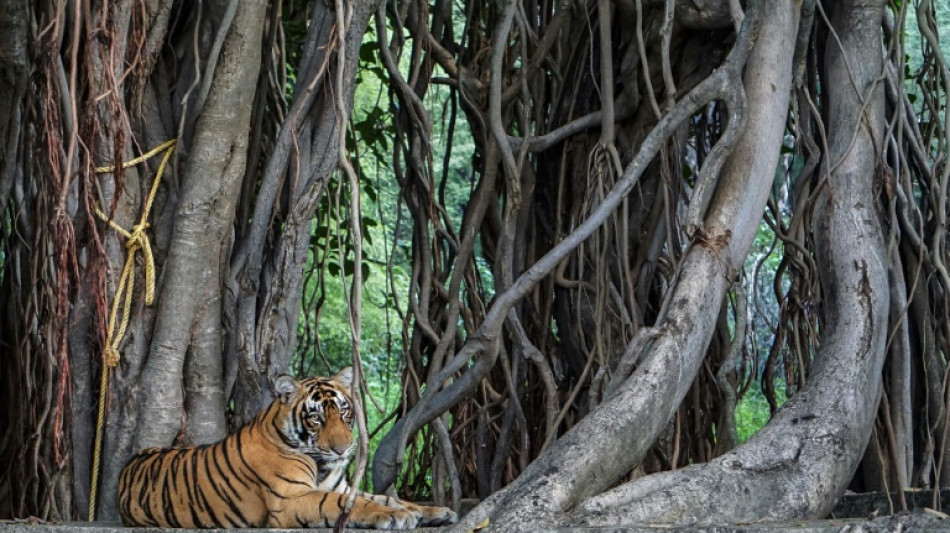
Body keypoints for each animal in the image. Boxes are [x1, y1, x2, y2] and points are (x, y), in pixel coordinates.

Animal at [117, 366, 460, 528]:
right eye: (316, 419)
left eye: (344, 412)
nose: (343, 449)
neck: (321, 464)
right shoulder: (290, 499)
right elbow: (346, 505)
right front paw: (394, 517)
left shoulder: (340, 486)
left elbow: (388, 497)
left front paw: (435, 511)